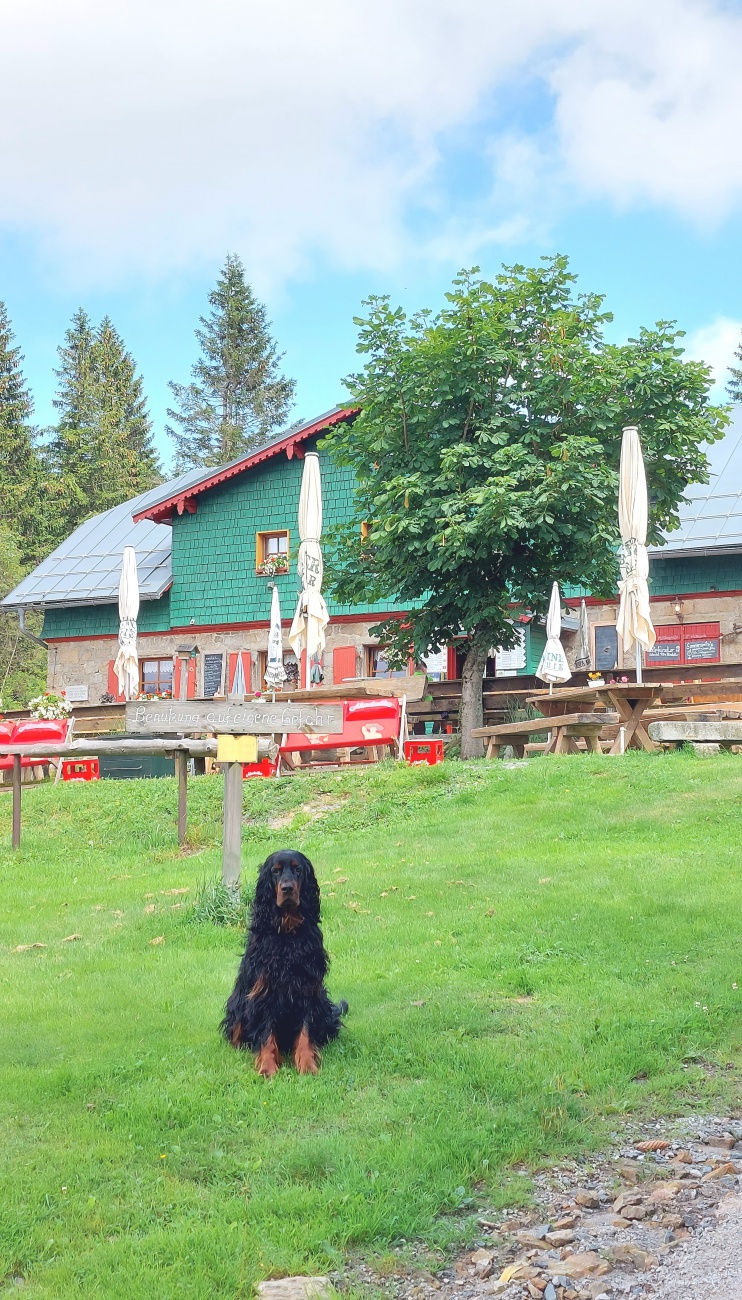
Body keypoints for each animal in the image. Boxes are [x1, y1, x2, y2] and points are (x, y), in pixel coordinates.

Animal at [222, 852, 348, 1076]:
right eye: (276, 871)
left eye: (298, 869)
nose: (287, 888)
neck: (288, 932)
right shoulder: (263, 991)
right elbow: (265, 1034)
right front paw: (267, 1066)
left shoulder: (308, 989)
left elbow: (306, 1032)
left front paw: (307, 1064)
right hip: (237, 1005)